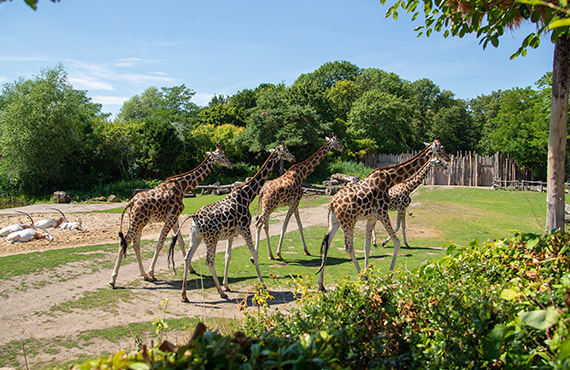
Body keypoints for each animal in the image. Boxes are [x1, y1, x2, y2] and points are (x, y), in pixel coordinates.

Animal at [106, 145, 231, 290]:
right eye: (222, 156)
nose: (230, 164)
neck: (183, 187)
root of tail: (131, 202)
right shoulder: (171, 216)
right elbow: (160, 243)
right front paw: (152, 272)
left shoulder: (175, 217)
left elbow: (181, 241)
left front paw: (191, 269)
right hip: (138, 221)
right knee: (125, 242)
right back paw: (113, 280)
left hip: (139, 222)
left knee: (135, 244)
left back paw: (144, 275)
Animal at [172, 143, 292, 302]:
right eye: (286, 151)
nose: (293, 157)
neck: (248, 195)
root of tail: (195, 217)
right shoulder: (245, 228)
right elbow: (254, 254)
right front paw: (263, 285)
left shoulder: (231, 235)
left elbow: (227, 257)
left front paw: (226, 285)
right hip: (211, 239)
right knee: (209, 261)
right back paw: (221, 294)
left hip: (196, 237)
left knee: (187, 258)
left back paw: (184, 295)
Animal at [318, 139, 446, 292]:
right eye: (441, 149)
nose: (447, 161)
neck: (390, 179)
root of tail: (332, 203)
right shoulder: (383, 213)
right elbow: (397, 241)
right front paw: (389, 275)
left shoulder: (372, 217)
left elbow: (367, 247)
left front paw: (370, 271)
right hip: (349, 221)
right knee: (348, 247)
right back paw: (362, 277)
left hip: (335, 221)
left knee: (327, 242)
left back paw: (321, 284)